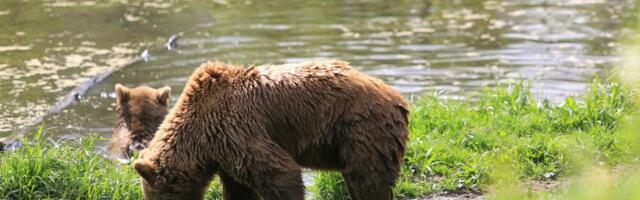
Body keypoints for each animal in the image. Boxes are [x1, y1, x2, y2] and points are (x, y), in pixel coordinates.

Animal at [135, 59, 410, 200]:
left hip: (361, 127)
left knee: (368, 178)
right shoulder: (225, 151)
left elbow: (279, 172)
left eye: (152, 195)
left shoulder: (235, 127)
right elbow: (239, 188)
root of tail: (397, 96)